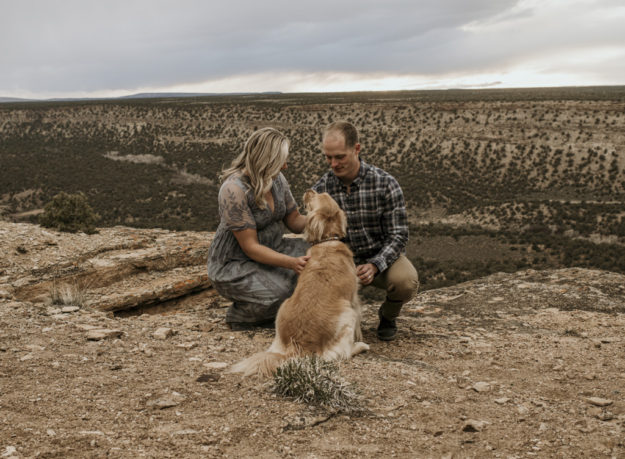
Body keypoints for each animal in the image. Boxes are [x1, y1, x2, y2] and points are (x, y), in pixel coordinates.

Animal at [230, 190, 368, 378]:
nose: (309, 190)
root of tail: (298, 346)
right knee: (342, 353)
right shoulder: (354, 299)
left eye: (318, 195)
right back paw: (360, 346)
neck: (327, 241)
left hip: (283, 308)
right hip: (347, 313)